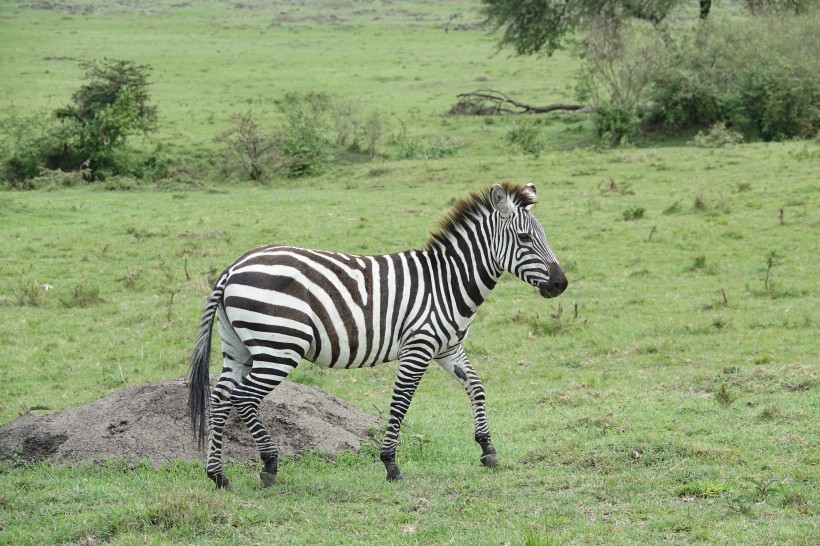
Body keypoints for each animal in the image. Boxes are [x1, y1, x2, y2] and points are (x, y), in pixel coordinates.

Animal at [189, 181, 568, 486]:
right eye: (524, 238)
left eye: (545, 236)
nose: (560, 284)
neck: (447, 281)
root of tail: (233, 267)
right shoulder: (419, 346)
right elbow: (400, 404)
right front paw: (390, 464)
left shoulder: (448, 347)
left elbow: (476, 387)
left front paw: (487, 448)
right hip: (280, 346)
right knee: (244, 398)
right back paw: (268, 465)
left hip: (239, 346)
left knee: (221, 397)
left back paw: (218, 475)